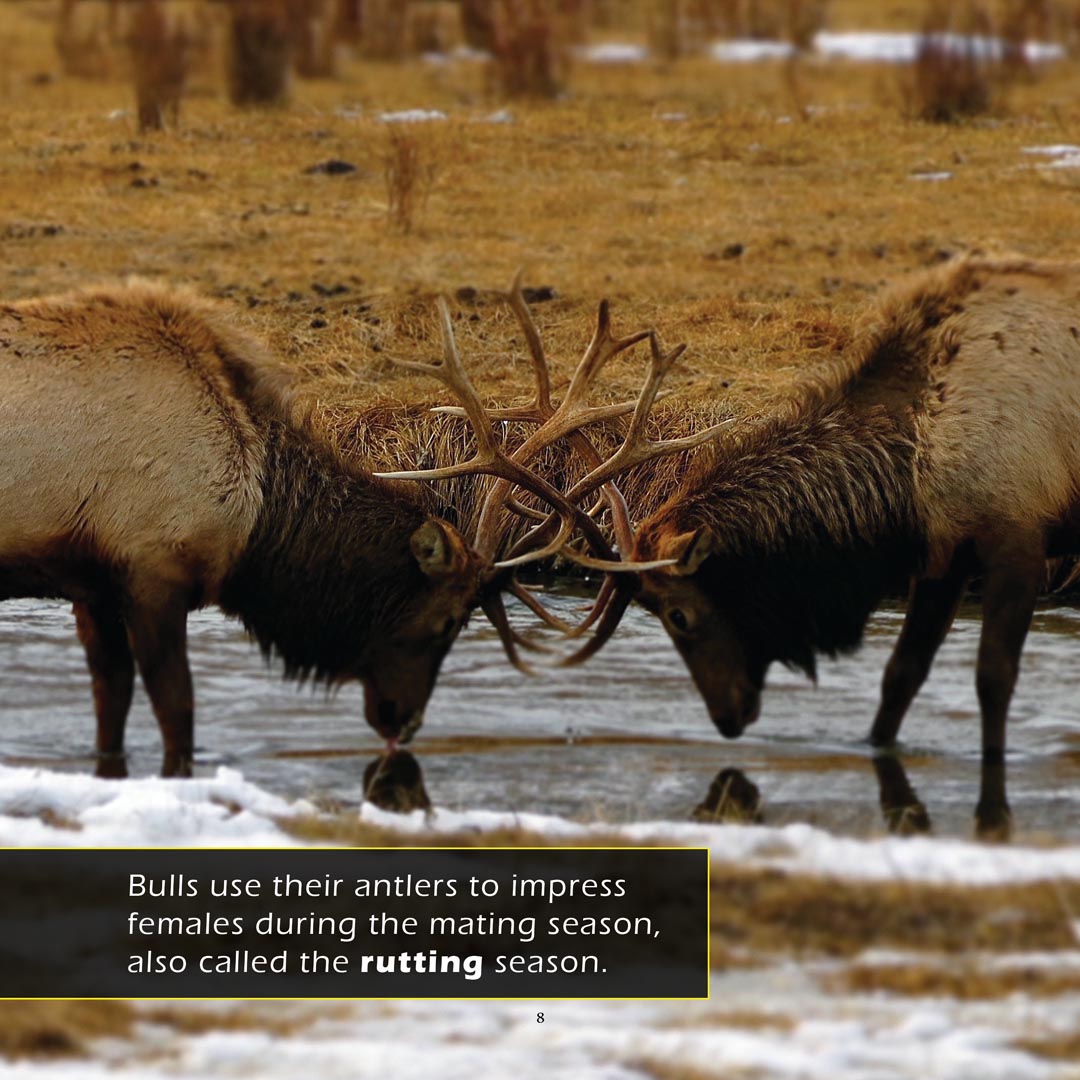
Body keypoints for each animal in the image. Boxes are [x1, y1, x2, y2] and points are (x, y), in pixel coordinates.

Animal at [0, 278, 677, 779]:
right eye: (446, 621)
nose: (404, 722)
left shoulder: (93, 583)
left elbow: (109, 712)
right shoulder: (153, 569)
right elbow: (178, 716)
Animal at [544, 254, 1080, 838]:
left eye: (678, 615)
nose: (726, 719)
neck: (912, 466)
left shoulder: (1018, 536)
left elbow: (993, 679)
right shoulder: (944, 556)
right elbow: (901, 674)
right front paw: (872, 748)